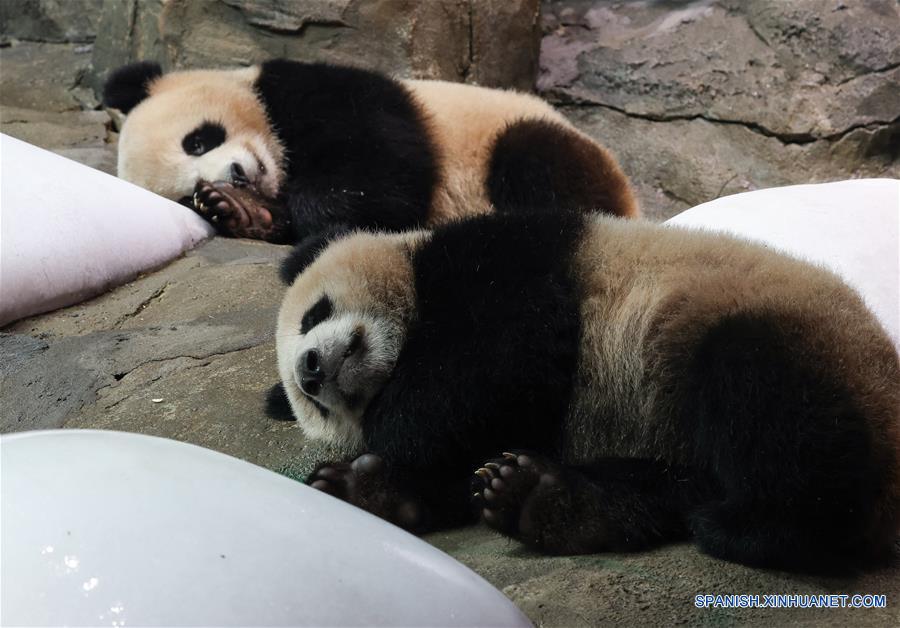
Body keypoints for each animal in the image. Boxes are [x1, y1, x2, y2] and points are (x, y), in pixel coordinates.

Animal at [103, 60, 638, 245]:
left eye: (198, 140)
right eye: (187, 190)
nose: (237, 176)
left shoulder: (316, 89)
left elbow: (382, 164)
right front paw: (242, 211)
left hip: (521, 136)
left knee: (534, 159)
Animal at [271, 209, 900, 573]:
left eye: (312, 315)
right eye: (314, 406)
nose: (309, 371)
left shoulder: (503, 254)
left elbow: (498, 347)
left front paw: (388, 445)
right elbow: (483, 432)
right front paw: (364, 486)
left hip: (781, 332)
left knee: (770, 400)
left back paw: (765, 529)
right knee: (662, 484)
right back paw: (548, 501)